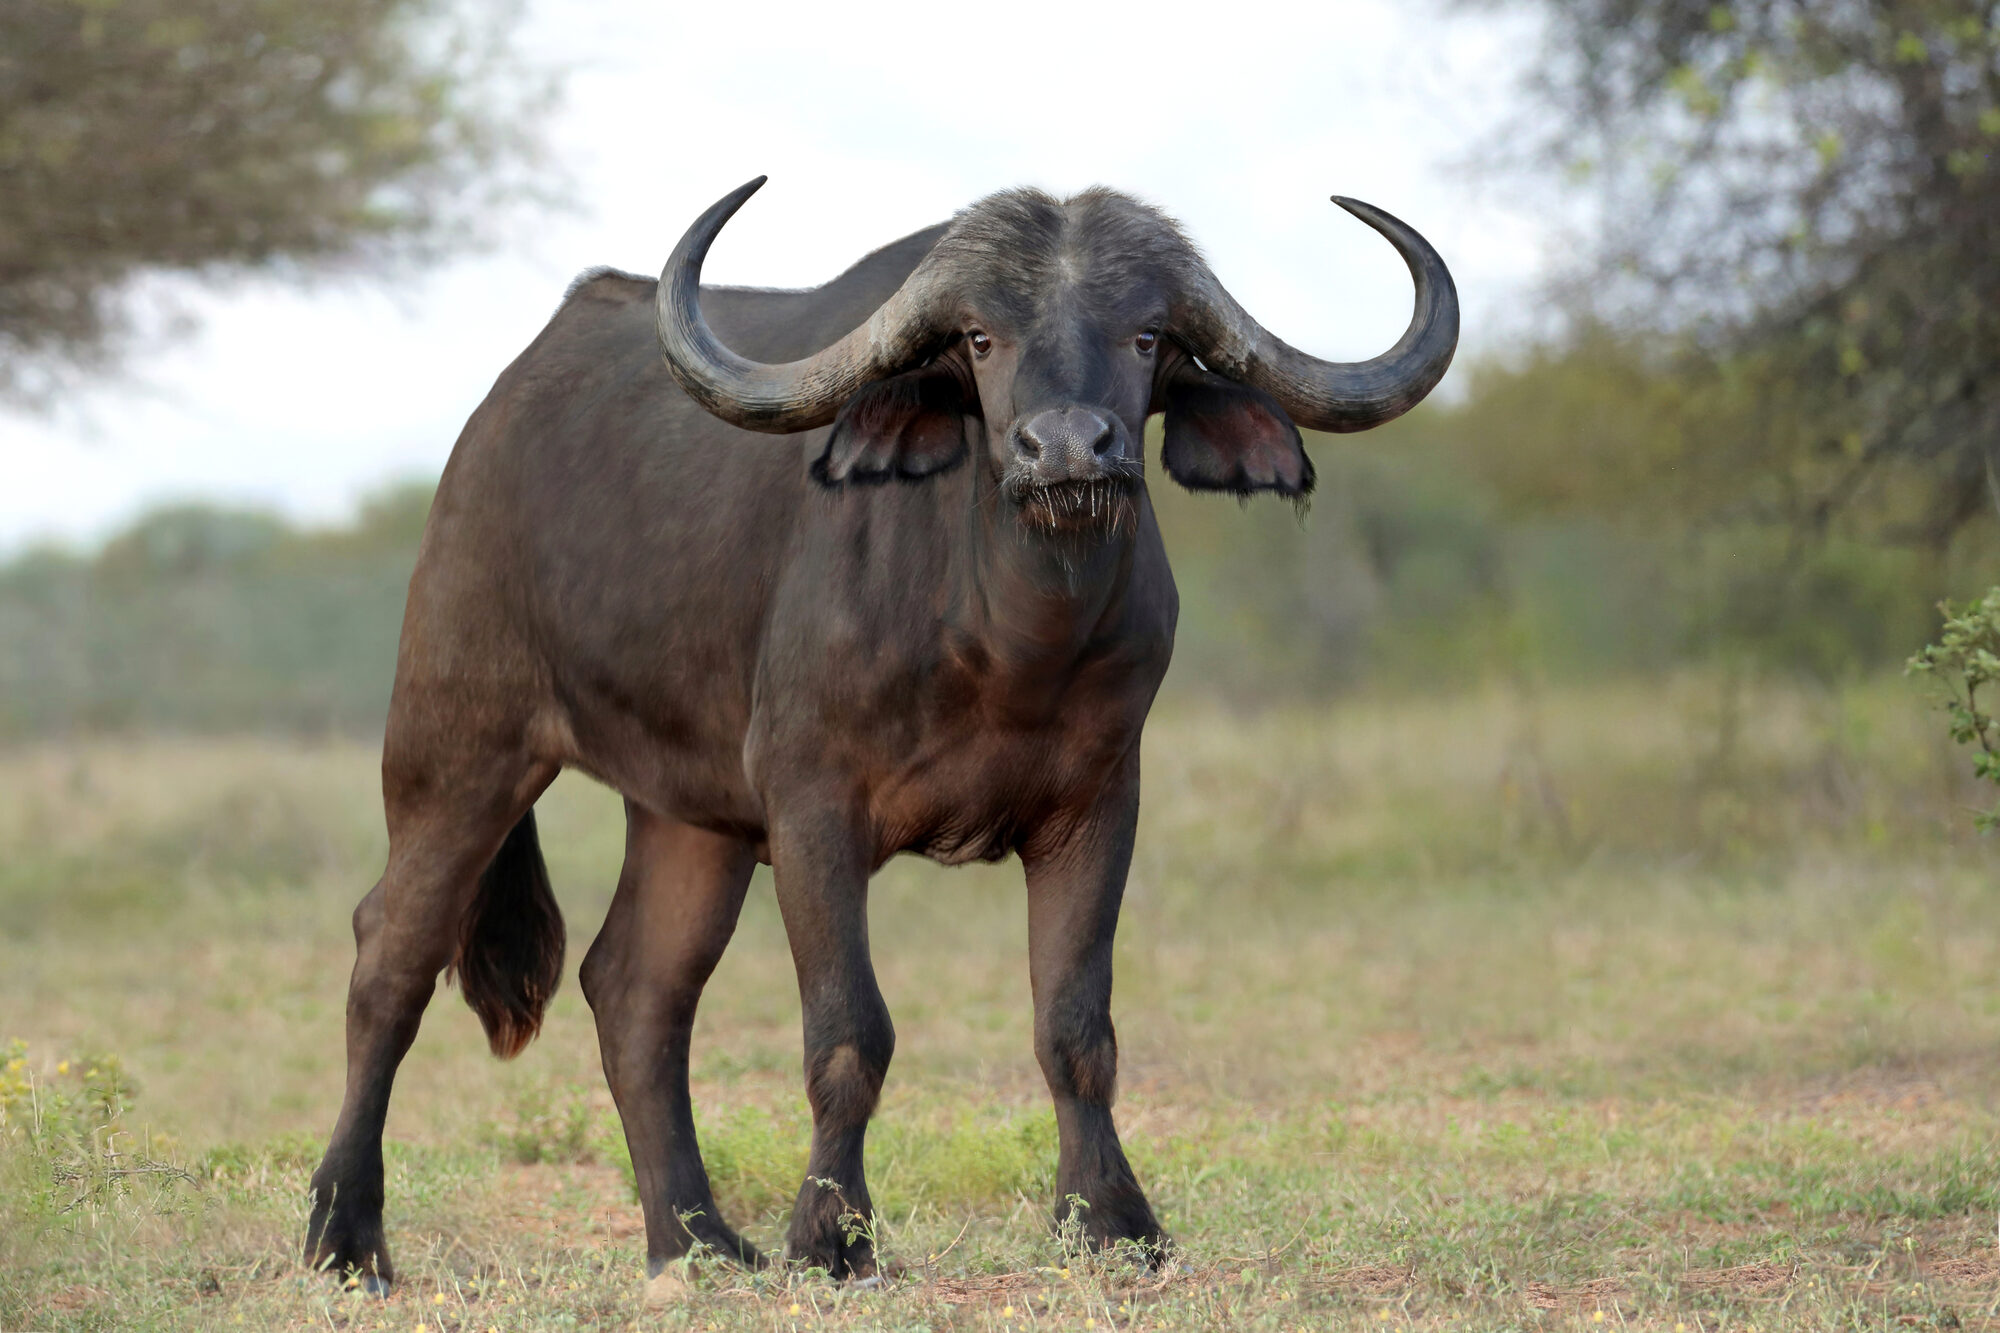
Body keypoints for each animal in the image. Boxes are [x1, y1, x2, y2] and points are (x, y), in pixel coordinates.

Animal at [304, 177, 1457, 1292]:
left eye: (1144, 335)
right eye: (981, 338)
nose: (1067, 448)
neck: (1004, 643)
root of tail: (496, 419)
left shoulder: (1097, 805)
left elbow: (1075, 1025)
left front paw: (1114, 1225)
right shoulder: (813, 809)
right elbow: (849, 1032)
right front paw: (832, 1238)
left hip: (690, 817)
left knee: (635, 988)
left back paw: (694, 1242)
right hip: (460, 746)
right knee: (390, 954)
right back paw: (345, 1239)